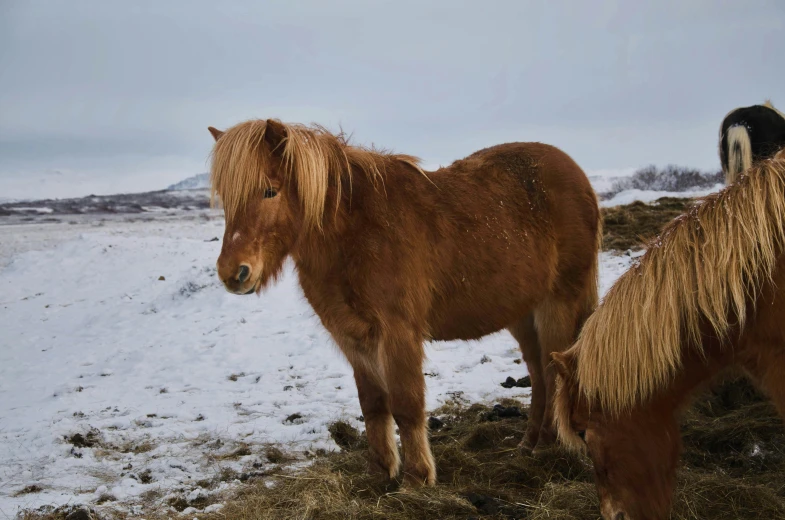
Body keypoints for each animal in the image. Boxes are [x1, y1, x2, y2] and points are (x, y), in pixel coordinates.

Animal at [205, 120, 596, 486]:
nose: (232, 273)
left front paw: (417, 479)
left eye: (269, 191)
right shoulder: (352, 336)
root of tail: (575, 172)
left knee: (551, 372)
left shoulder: (398, 332)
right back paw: (528, 445)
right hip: (522, 313)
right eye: (225, 197)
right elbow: (373, 404)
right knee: (538, 374)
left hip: (558, 303)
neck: (355, 233)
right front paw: (380, 474)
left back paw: (547, 448)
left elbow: (406, 404)